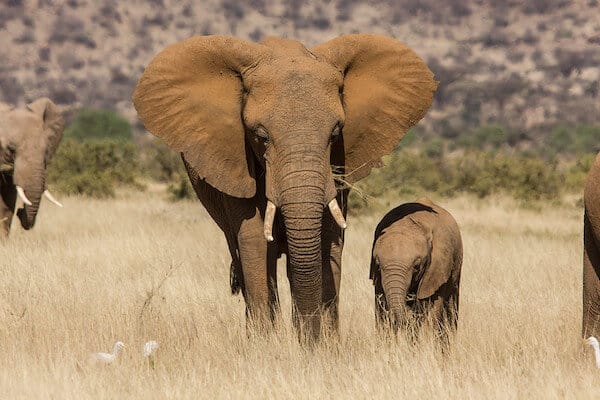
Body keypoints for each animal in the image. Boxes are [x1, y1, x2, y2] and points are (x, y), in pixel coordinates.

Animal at [134, 33, 438, 340]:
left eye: (335, 133)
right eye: (260, 136)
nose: (308, 336)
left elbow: (328, 240)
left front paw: (322, 344)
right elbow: (255, 242)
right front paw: (266, 344)